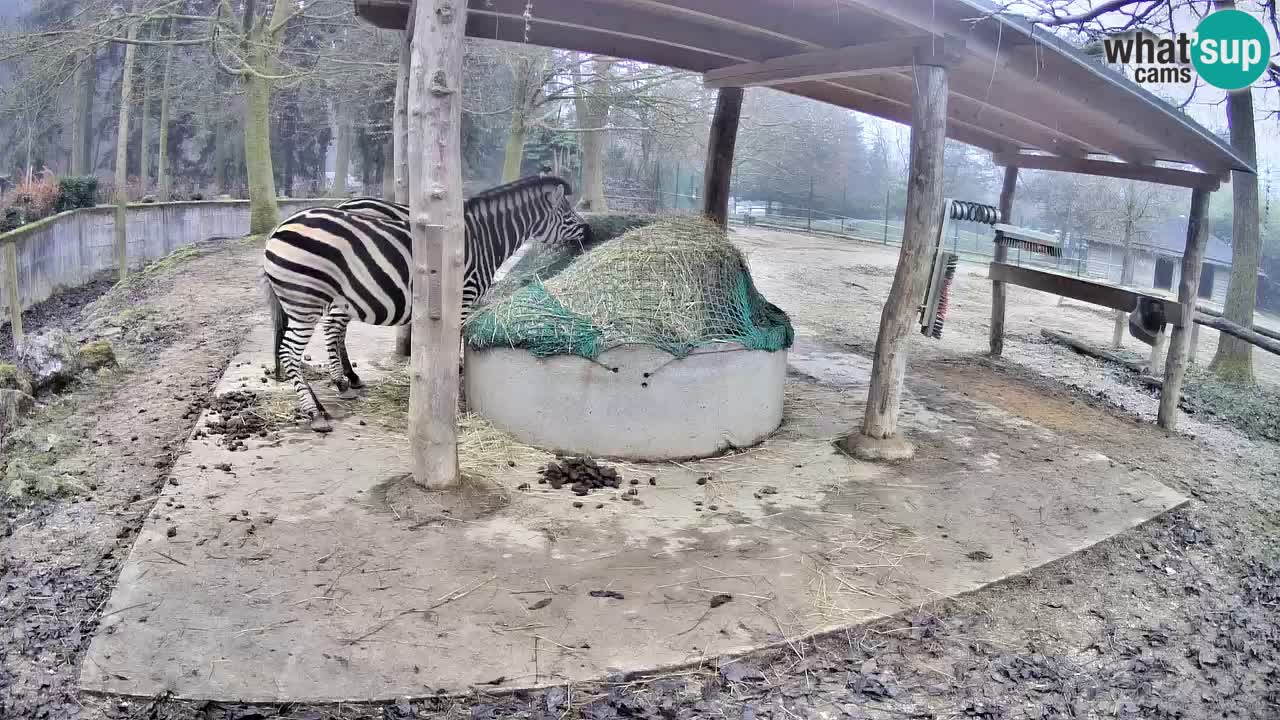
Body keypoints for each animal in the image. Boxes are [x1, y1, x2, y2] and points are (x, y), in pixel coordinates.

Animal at [263, 175, 592, 432]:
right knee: (292, 351)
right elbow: (454, 342)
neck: (483, 239)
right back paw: (317, 411)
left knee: (321, 336)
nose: (590, 233)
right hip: (306, 300)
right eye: (568, 214)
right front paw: (453, 384)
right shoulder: (463, 296)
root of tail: (276, 230)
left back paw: (336, 389)